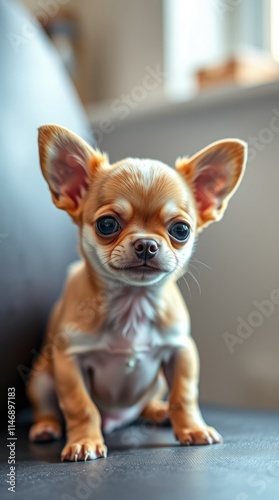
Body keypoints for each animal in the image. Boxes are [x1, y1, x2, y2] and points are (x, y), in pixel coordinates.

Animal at [27, 125, 247, 460]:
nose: (146, 244)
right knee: (49, 409)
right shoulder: (69, 361)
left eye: (181, 230)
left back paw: (158, 411)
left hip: (157, 382)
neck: (133, 302)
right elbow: (80, 406)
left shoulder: (181, 351)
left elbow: (184, 395)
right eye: (107, 224)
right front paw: (84, 441)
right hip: (41, 379)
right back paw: (46, 427)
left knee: (148, 404)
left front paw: (192, 429)